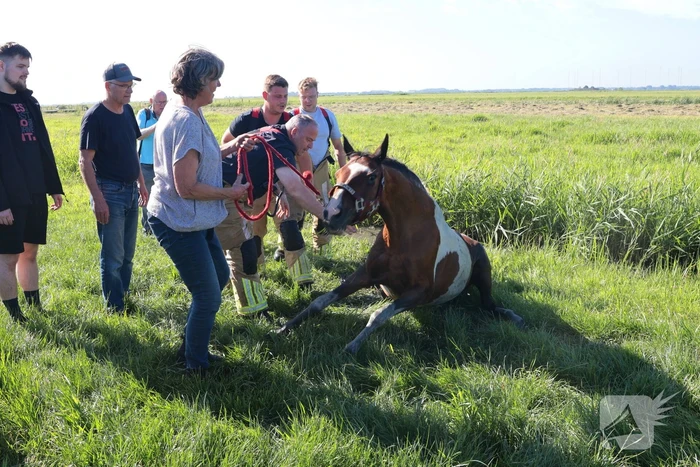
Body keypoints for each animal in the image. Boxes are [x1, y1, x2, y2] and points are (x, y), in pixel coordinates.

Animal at [276, 135, 525, 354]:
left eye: (371, 177)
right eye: (339, 172)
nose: (330, 215)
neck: (401, 240)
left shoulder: (419, 292)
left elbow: (377, 315)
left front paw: (352, 346)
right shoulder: (366, 275)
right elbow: (320, 301)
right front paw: (284, 327)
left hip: (484, 274)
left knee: (490, 306)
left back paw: (513, 316)